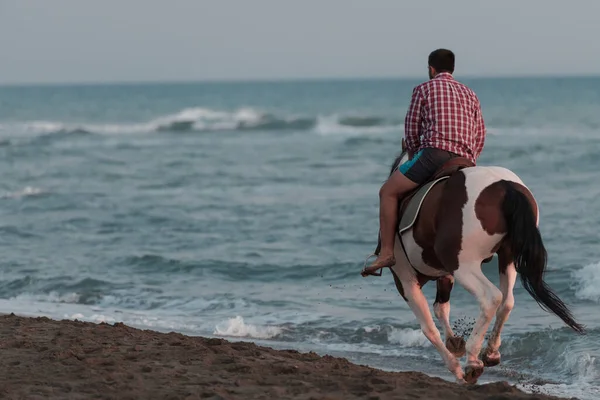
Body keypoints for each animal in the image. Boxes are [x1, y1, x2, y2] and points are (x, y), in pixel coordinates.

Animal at [360, 142, 584, 386]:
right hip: (507, 258)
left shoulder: (404, 279)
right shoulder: (444, 274)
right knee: (507, 301)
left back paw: (473, 361)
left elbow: (429, 327)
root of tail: (505, 187)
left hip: (464, 266)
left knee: (491, 298)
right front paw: (454, 343)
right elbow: (441, 308)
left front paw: (455, 367)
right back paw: (490, 352)